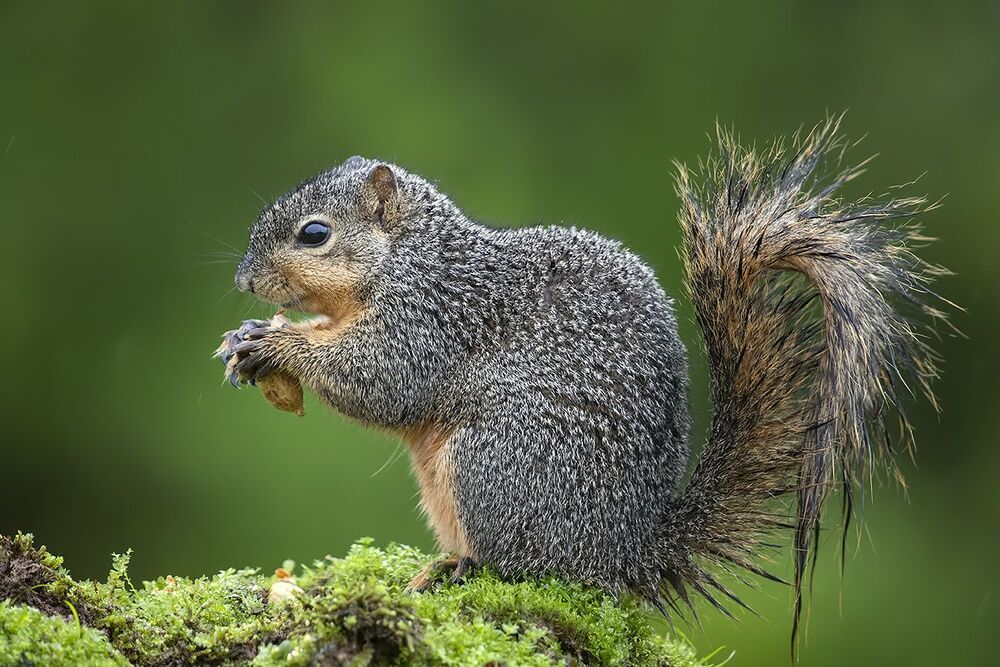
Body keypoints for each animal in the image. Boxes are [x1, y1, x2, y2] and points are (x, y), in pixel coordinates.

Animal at [217, 118, 946, 650]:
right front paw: (246, 335)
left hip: (494, 461)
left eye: (315, 234)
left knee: (522, 567)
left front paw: (277, 342)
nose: (244, 281)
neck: (408, 257)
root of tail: (620, 549)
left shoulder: (432, 318)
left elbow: (380, 380)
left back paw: (460, 568)